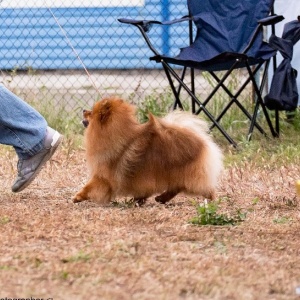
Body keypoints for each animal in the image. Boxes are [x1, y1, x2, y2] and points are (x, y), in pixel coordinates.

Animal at [72, 97, 223, 205]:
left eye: (91, 113)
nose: (84, 110)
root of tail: (199, 139)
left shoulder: (103, 175)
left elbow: (89, 186)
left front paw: (78, 197)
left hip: (186, 173)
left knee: (196, 187)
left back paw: (210, 199)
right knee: (176, 187)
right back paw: (160, 198)